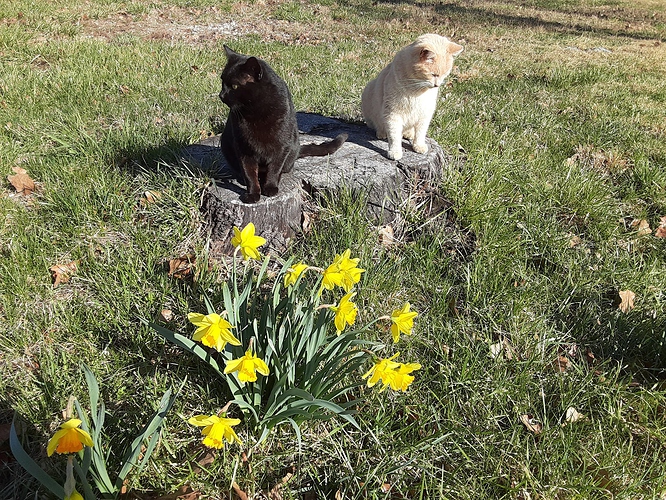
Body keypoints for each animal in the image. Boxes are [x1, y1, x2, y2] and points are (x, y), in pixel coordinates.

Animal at [219, 46, 348, 203]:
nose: (221, 95)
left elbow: (274, 169)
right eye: (222, 82)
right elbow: (249, 175)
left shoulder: (282, 147)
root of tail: (298, 149)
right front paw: (252, 194)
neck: (256, 110)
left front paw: (270, 188)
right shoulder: (243, 148)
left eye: (234, 86)